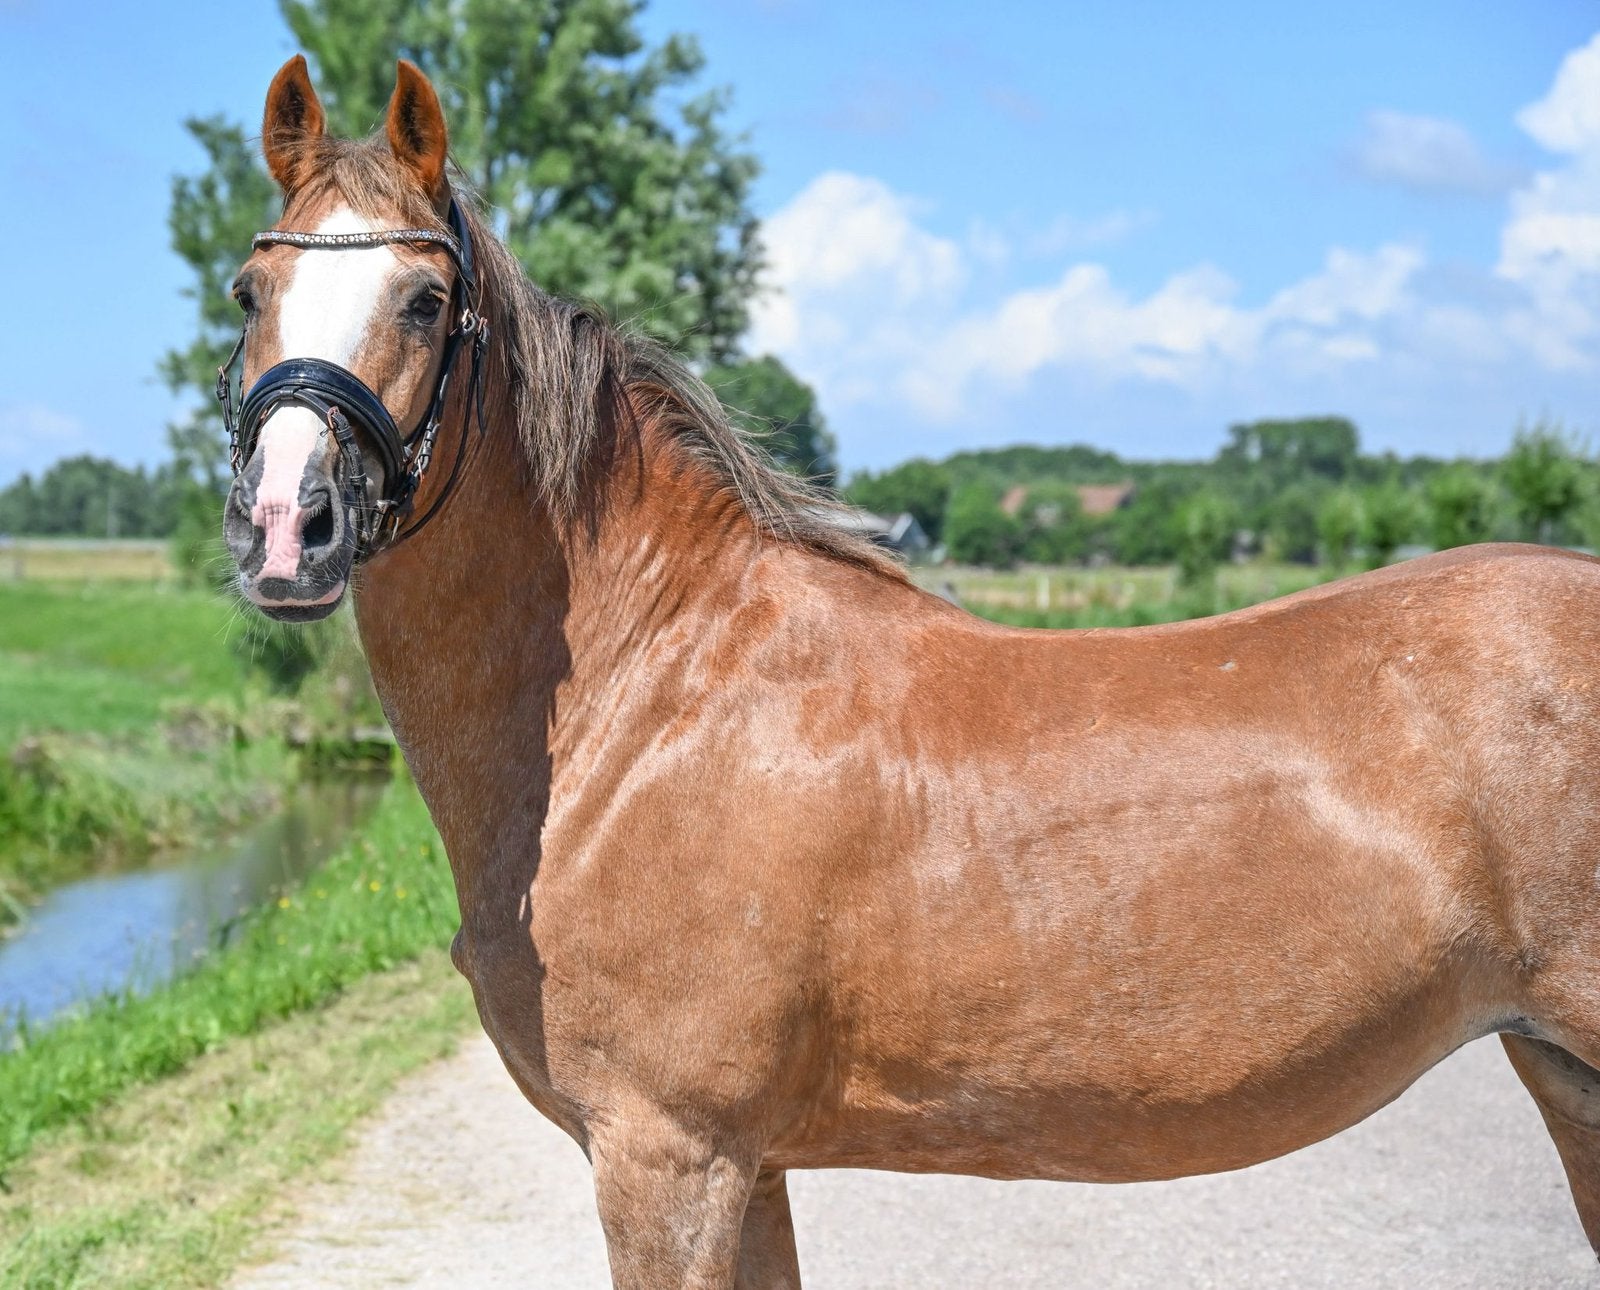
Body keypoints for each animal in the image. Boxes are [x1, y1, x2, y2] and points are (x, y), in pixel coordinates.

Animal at [221, 54, 1600, 1288]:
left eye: (421, 300)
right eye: (248, 289)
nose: (288, 527)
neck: (649, 698)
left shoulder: (670, 1158)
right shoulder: (751, 1168)